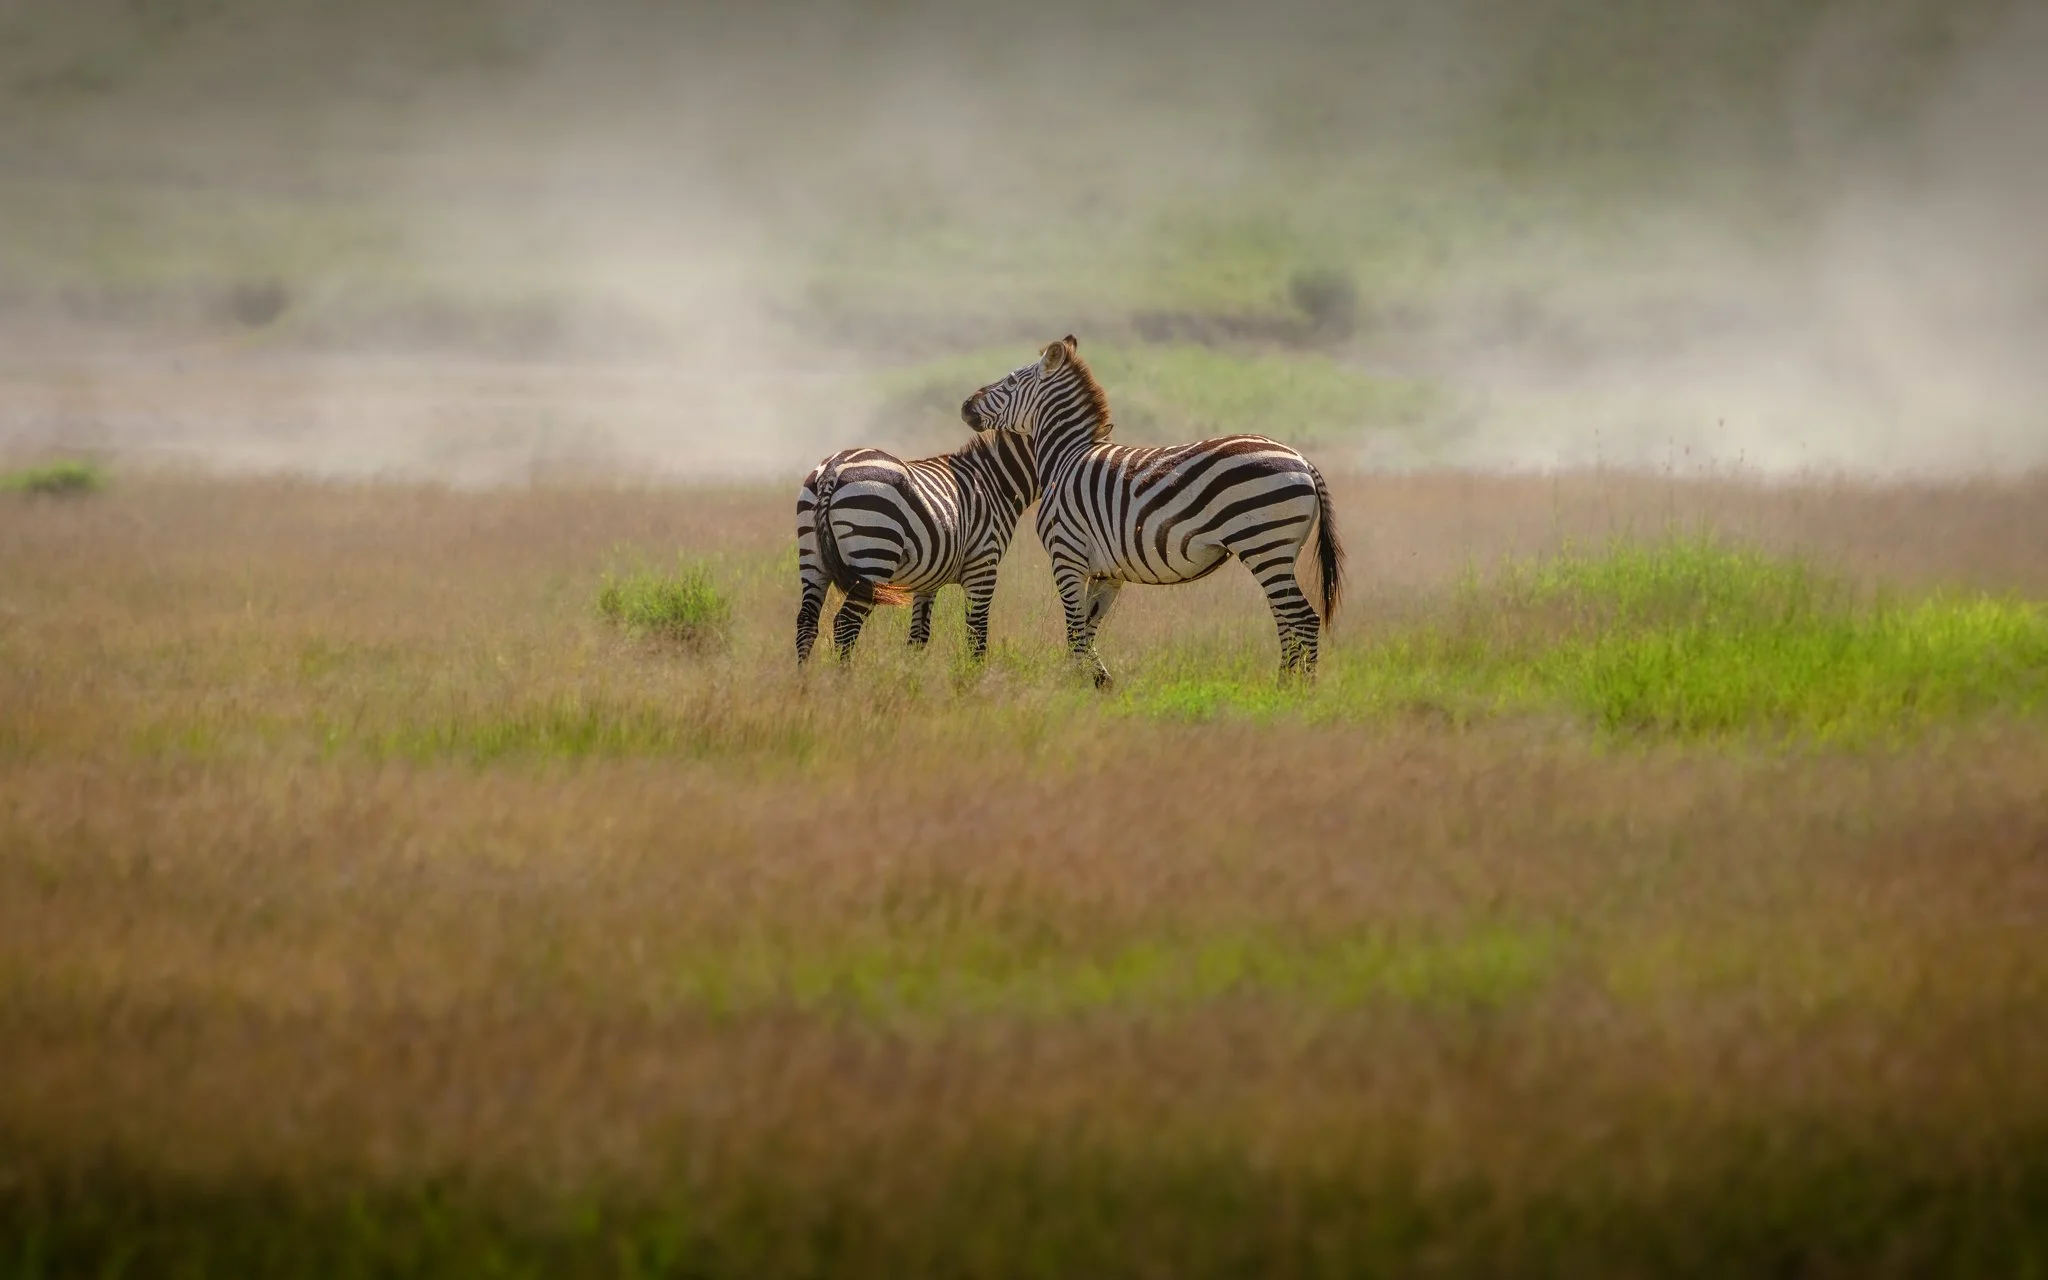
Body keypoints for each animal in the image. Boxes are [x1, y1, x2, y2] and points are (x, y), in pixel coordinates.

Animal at [795, 427, 1039, 665]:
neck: (994, 485)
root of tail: (832, 470)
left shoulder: (929, 579)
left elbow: (918, 637)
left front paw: (911, 675)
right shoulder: (982, 567)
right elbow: (976, 635)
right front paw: (973, 676)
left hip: (813, 560)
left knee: (806, 624)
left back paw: (805, 678)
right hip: (873, 558)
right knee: (846, 624)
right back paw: (842, 677)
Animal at [959, 335, 1344, 687]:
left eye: (1010, 381)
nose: (965, 406)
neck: (1065, 458)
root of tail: (1302, 460)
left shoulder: (1066, 554)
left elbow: (1075, 629)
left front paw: (1072, 686)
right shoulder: (1107, 571)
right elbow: (1089, 627)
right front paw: (1097, 683)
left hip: (1264, 545)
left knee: (1303, 618)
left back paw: (1298, 693)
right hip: (1280, 553)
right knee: (1286, 618)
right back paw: (1283, 684)